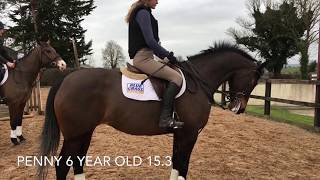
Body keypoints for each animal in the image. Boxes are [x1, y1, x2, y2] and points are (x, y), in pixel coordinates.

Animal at [38, 42, 266, 180]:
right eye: (254, 79)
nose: (239, 108)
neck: (198, 80)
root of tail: (67, 78)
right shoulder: (190, 133)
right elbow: (183, 166)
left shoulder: (181, 133)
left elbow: (176, 163)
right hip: (74, 135)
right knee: (62, 165)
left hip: (85, 132)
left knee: (77, 162)